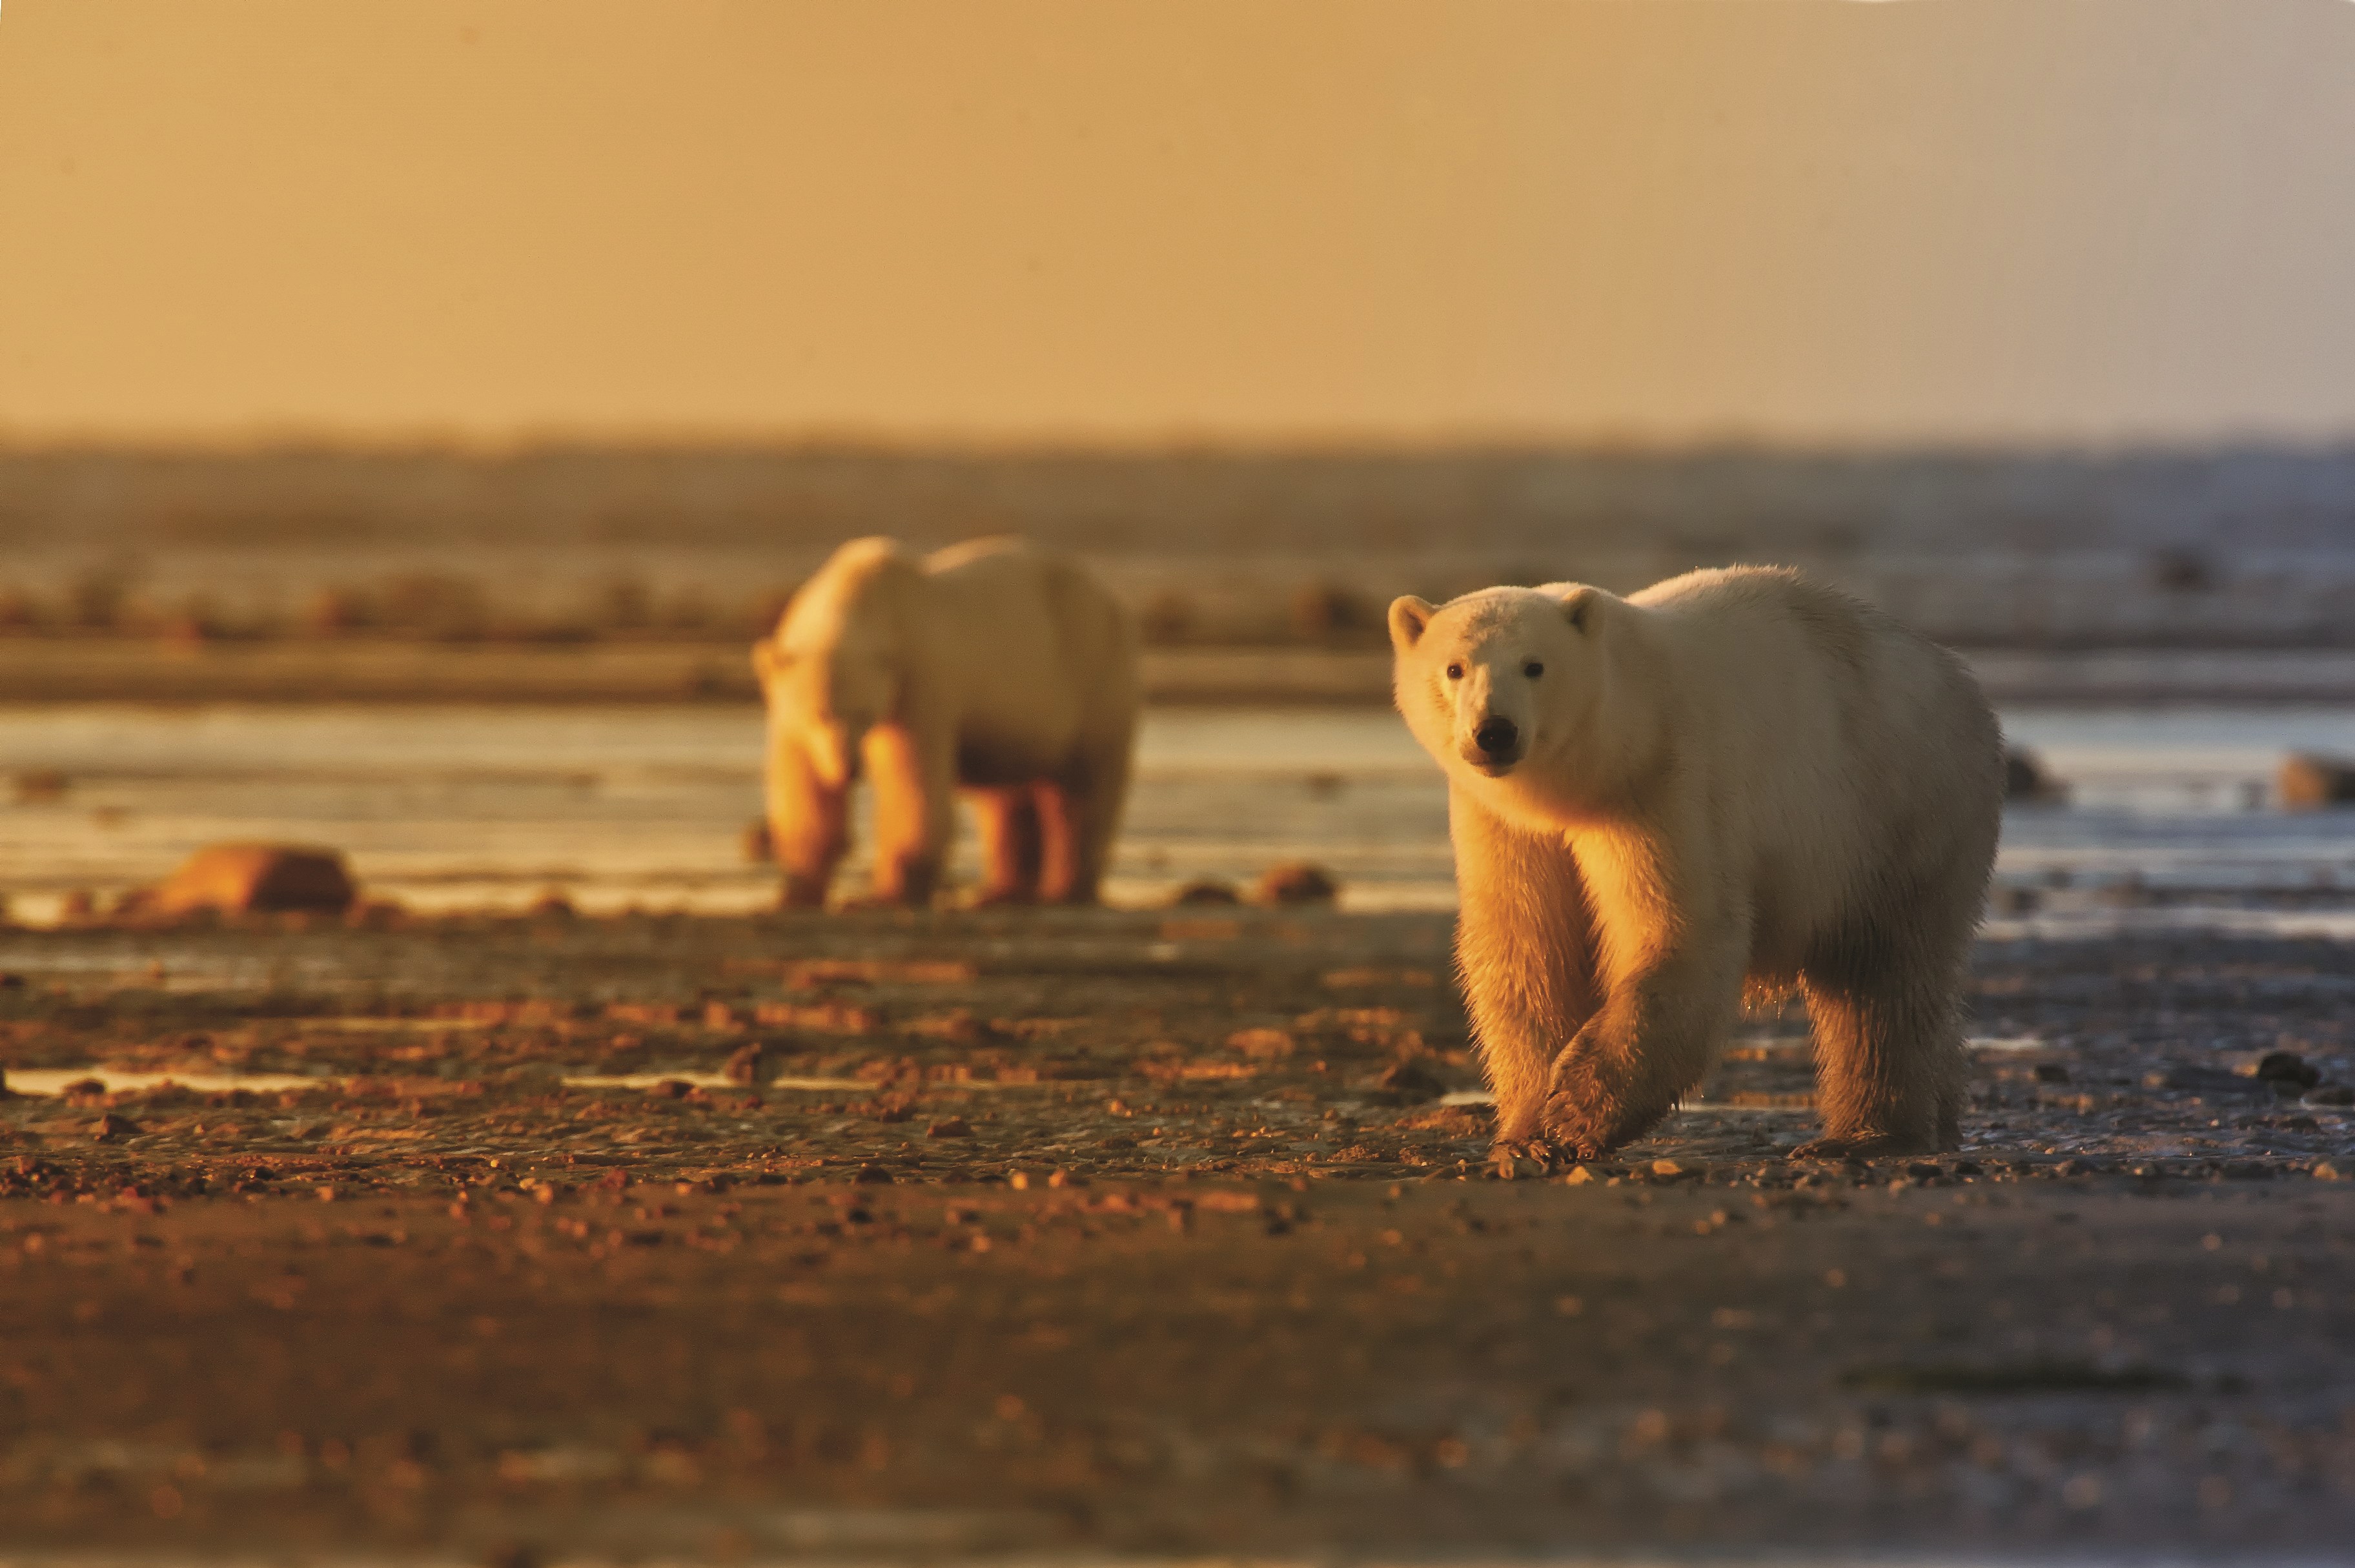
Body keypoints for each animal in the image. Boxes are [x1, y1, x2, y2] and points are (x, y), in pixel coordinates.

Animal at [753, 534, 1139, 904]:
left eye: (864, 713)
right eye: (820, 714)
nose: (848, 769)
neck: (861, 600)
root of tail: (1111, 598)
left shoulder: (918, 680)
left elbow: (913, 780)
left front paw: (885, 895)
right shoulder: (787, 705)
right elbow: (804, 784)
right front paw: (794, 892)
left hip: (1093, 672)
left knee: (1084, 788)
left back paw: (1066, 890)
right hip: (1023, 722)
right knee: (1010, 795)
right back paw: (1001, 893)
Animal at [1385, 565, 1997, 1158]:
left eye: (1534, 665)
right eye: (1455, 668)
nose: (1494, 732)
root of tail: (1965, 684)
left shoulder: (1662, 782)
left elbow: (1680, 930)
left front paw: (1577, 1111)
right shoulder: (1506, 827)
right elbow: (1528, 951)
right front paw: (1527, 1136)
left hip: (1897, 812)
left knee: (1883, 978)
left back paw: (1866, 1135)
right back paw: (1939, 1115)